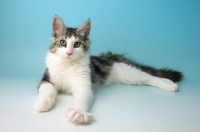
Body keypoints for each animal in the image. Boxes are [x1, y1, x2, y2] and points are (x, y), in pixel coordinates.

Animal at [33, 15, 183, 124]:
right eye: (63, 42)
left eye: (77, 44)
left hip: (129, 73)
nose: (69, 53)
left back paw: (170, 84)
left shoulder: (83, 85)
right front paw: (42, 104)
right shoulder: (47, 79)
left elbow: (81, 100)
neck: (68, 65)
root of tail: (110, 56)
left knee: (150, 77)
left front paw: (78, 112)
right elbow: (47, 92)